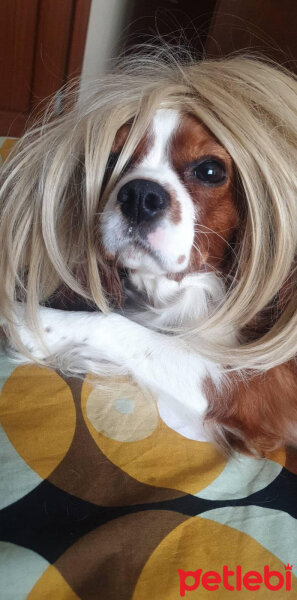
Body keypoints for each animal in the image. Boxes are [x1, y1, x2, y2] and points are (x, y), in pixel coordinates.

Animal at [0, 52, 296, 454]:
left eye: (210, 170)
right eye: (111, 160)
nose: (140, 196)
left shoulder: (254, 380)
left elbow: (118, 325)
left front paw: (27, 321)